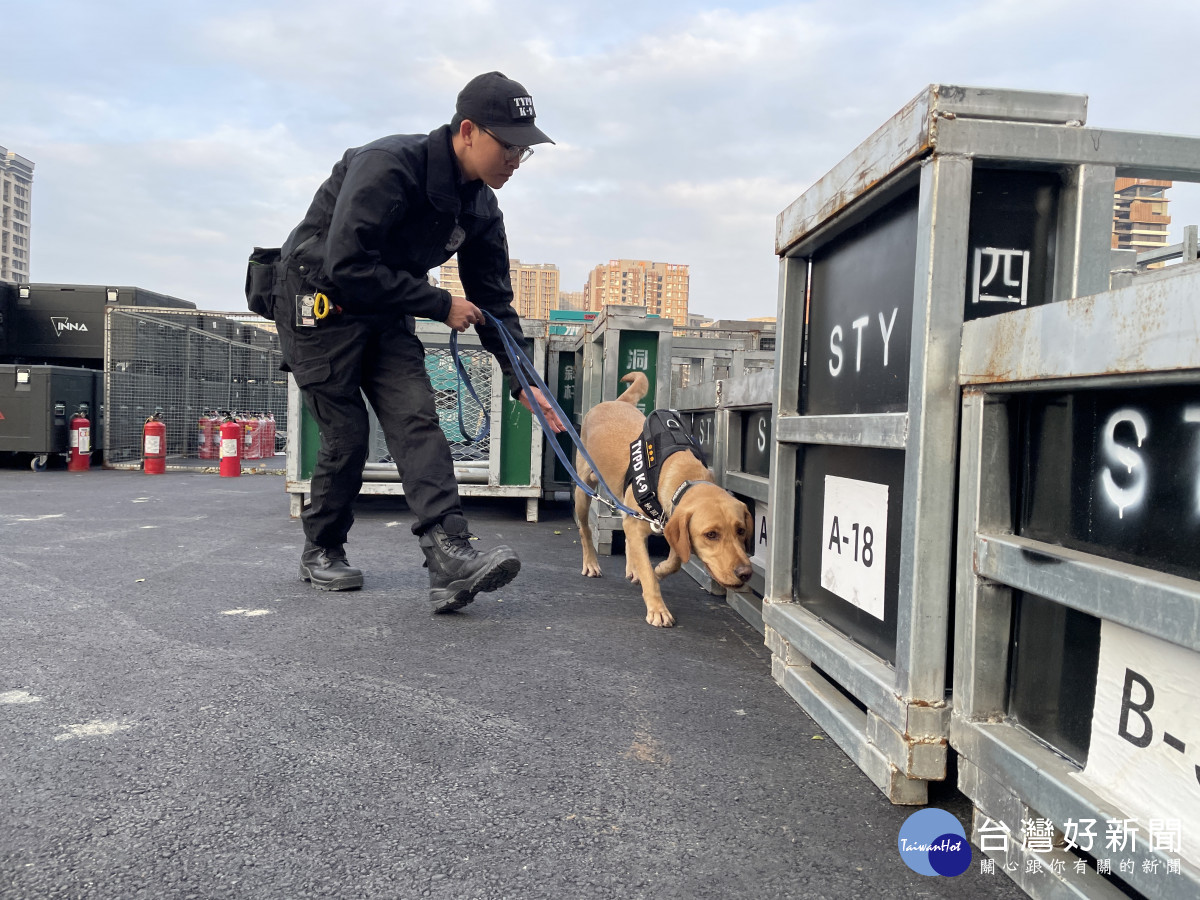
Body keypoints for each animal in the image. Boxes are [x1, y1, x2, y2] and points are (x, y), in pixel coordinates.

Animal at [571, 374, 748, 628]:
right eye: (711, 535)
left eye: (741, 531)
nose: (745, 573)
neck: (683, 474)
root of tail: (615, 402)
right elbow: (649, 571)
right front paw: (657, 609)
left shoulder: (671, 522)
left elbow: (674, 560)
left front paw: (660, 569)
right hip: (583, 490)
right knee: (585, 530)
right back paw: (591, 564)